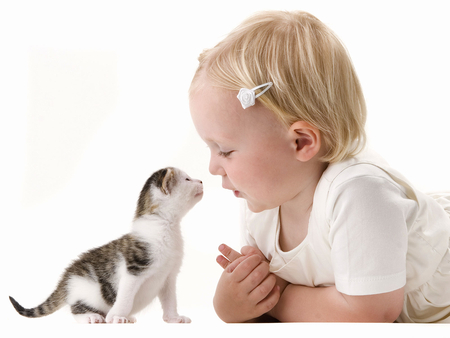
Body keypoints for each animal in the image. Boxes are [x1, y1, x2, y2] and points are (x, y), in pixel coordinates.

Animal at [9, 168, 203, 324]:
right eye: (187, 179)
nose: (201, 181)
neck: (166, 226)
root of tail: (66, 277)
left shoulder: (169, 276)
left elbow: (170, 300)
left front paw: (173, 318)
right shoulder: (133, 270)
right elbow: (125, 298)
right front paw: (116, 316)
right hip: (88, 291)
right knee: (76, 308)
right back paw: (91, 317)